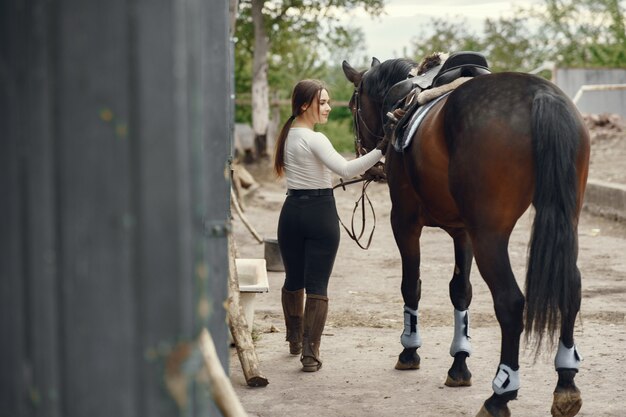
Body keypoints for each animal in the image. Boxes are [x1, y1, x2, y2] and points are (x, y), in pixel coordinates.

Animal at [342, 57, 588, 416]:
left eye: (352, 105)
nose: (362, 151)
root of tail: (541, 94)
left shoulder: (404, 221)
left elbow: (411, 285)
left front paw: (409, 350)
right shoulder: (463, 232)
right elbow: (461, 291)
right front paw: (459, 363)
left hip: (490, 235)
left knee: (510, 302)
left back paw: (501, 393)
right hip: (564, 221)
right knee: (570, 289)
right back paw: (566, 383)